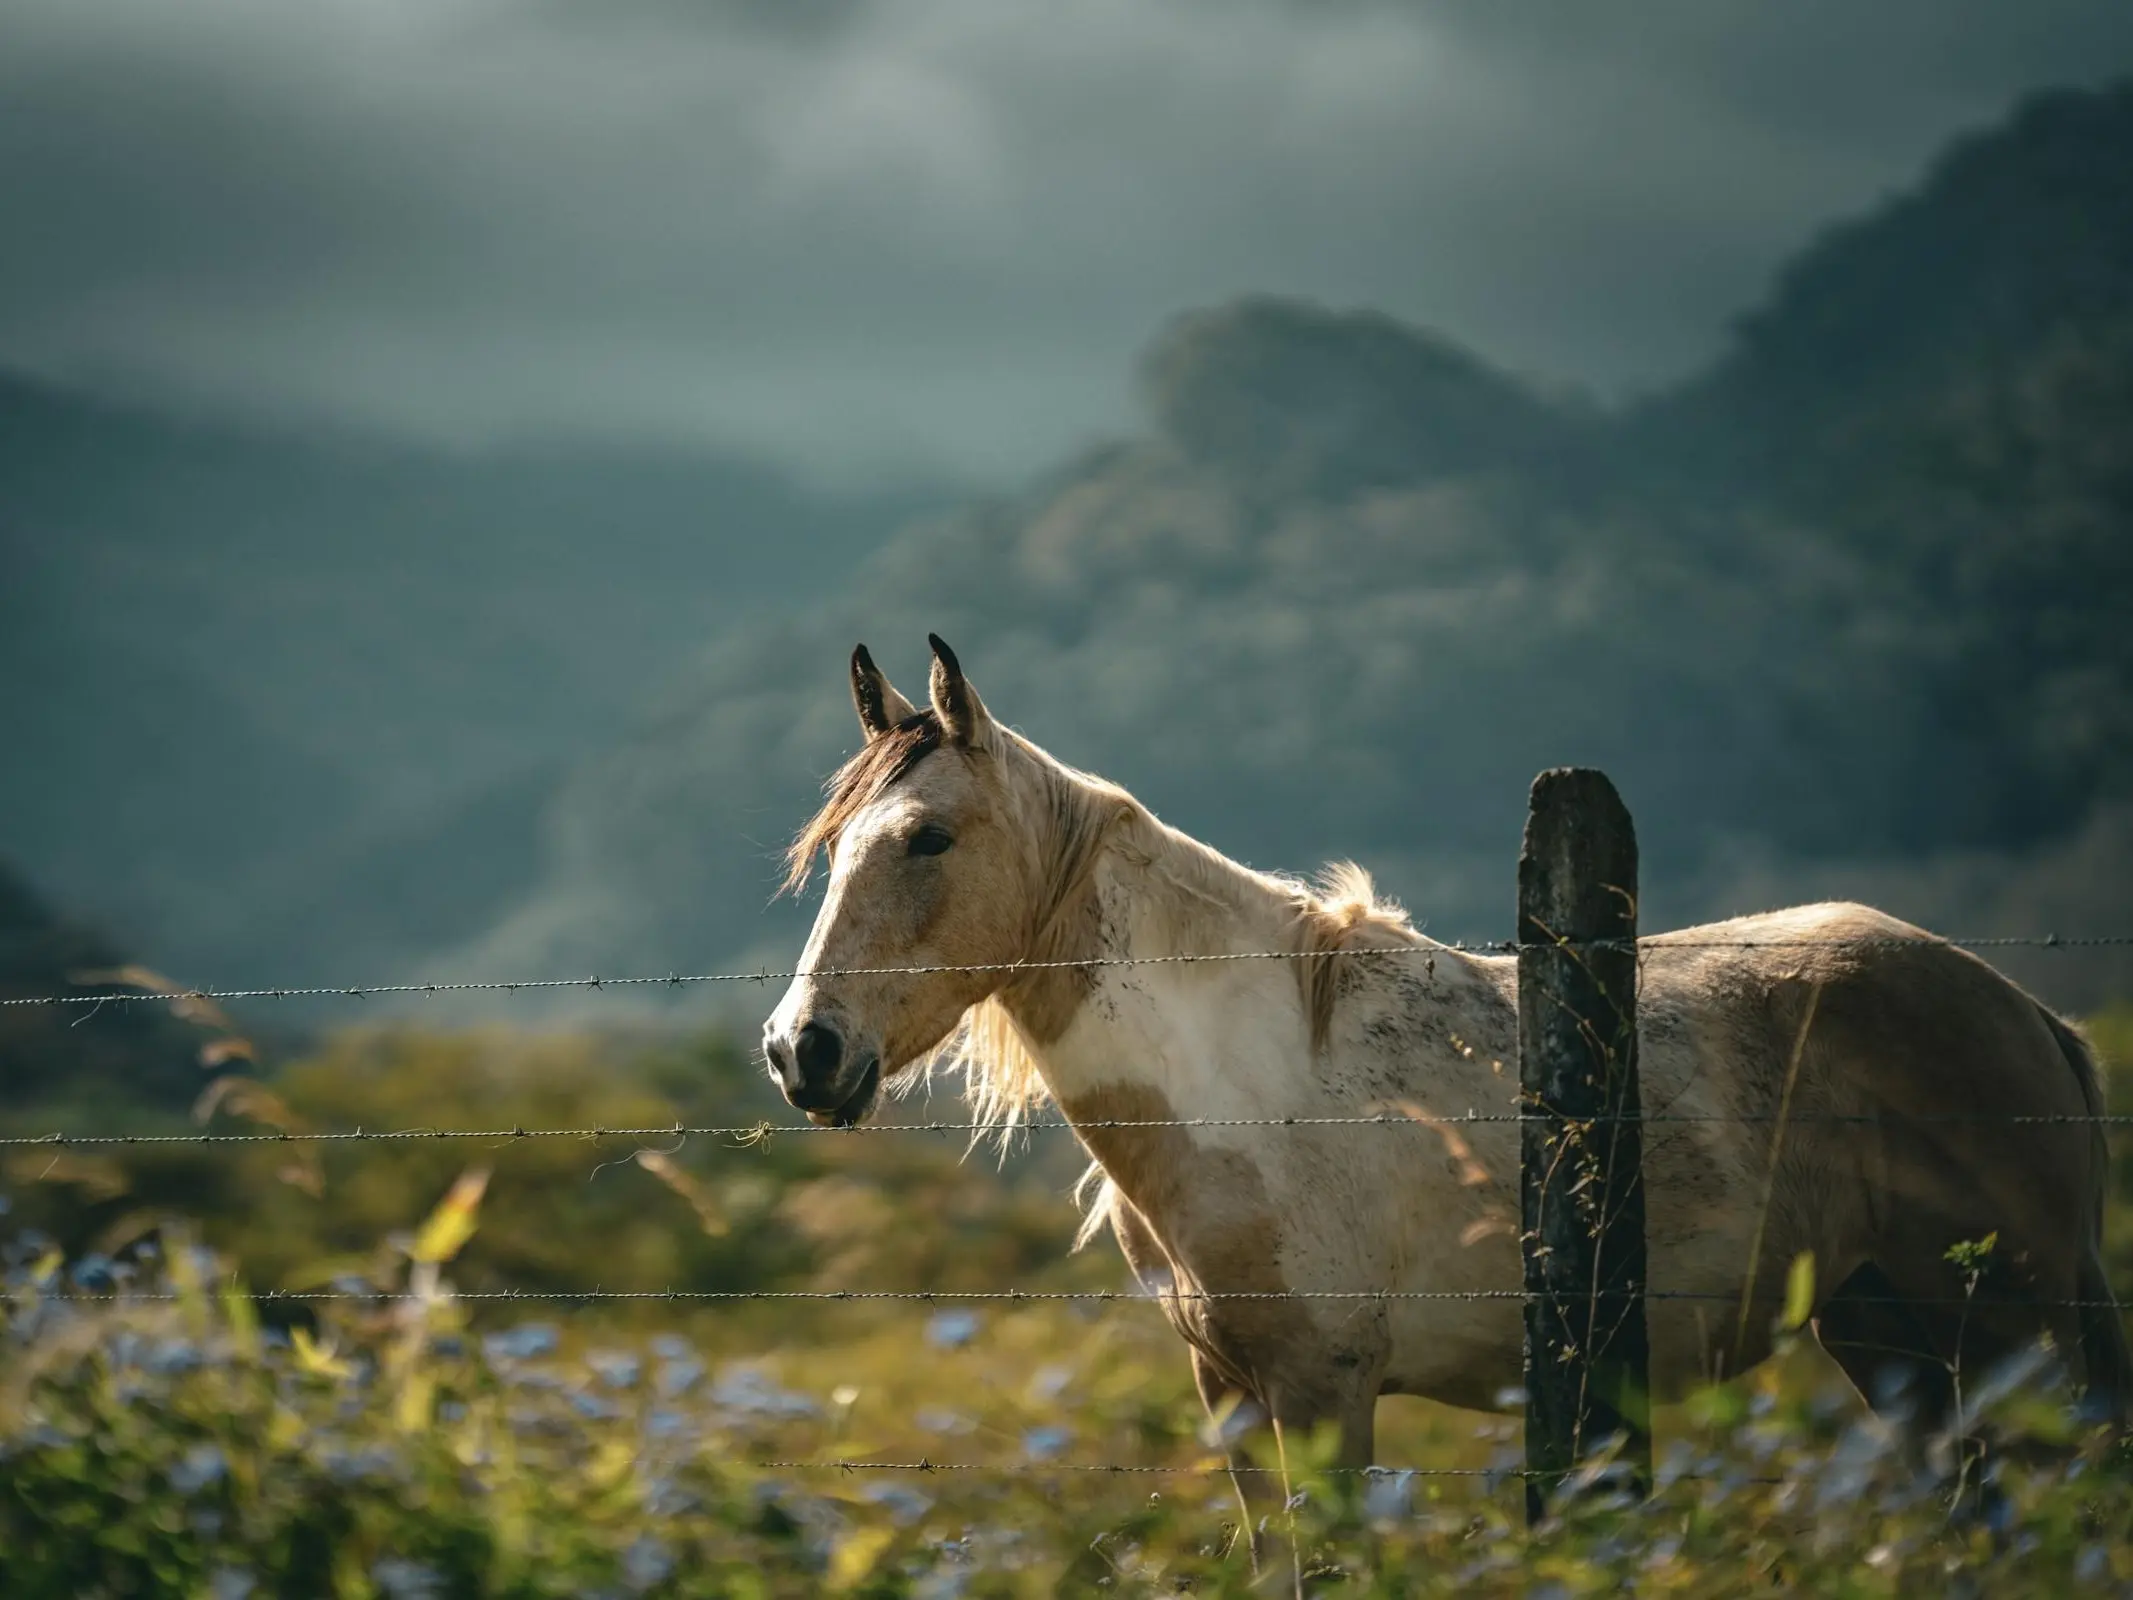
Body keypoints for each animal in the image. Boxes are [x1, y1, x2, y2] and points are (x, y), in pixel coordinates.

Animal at [762, 634, 2129, 1517]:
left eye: (928, 837)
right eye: (830, 849)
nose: (800, 1050)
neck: (1246, 1084)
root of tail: (2028, 1013)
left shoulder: (1324, 1396)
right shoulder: (1236, 1399)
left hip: (2008, 1331)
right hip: (1895, 1337)